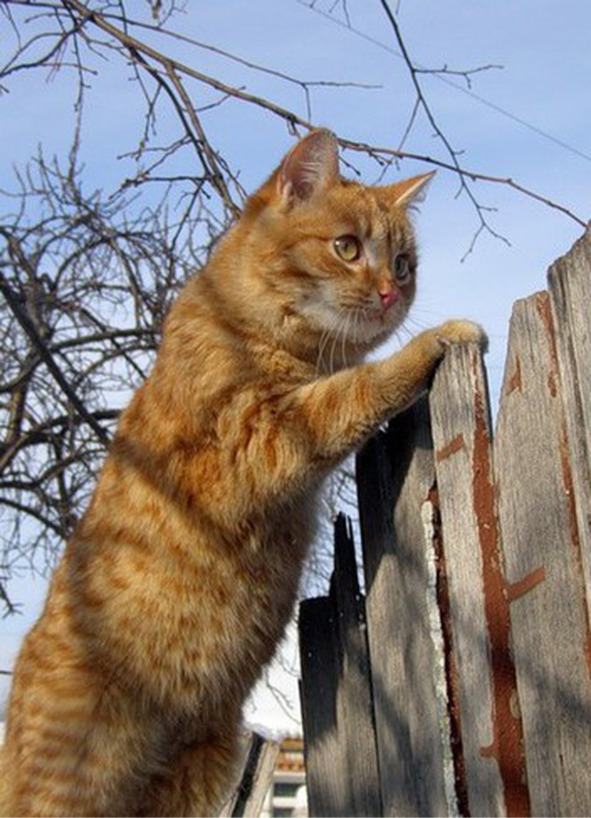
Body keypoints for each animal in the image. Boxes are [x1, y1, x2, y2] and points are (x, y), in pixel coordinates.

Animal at [0, 129, 485, 817]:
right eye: (347, 247)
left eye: (402, 265)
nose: (393, 295)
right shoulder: (257, 442)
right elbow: (354, 390)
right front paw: (434, 340)